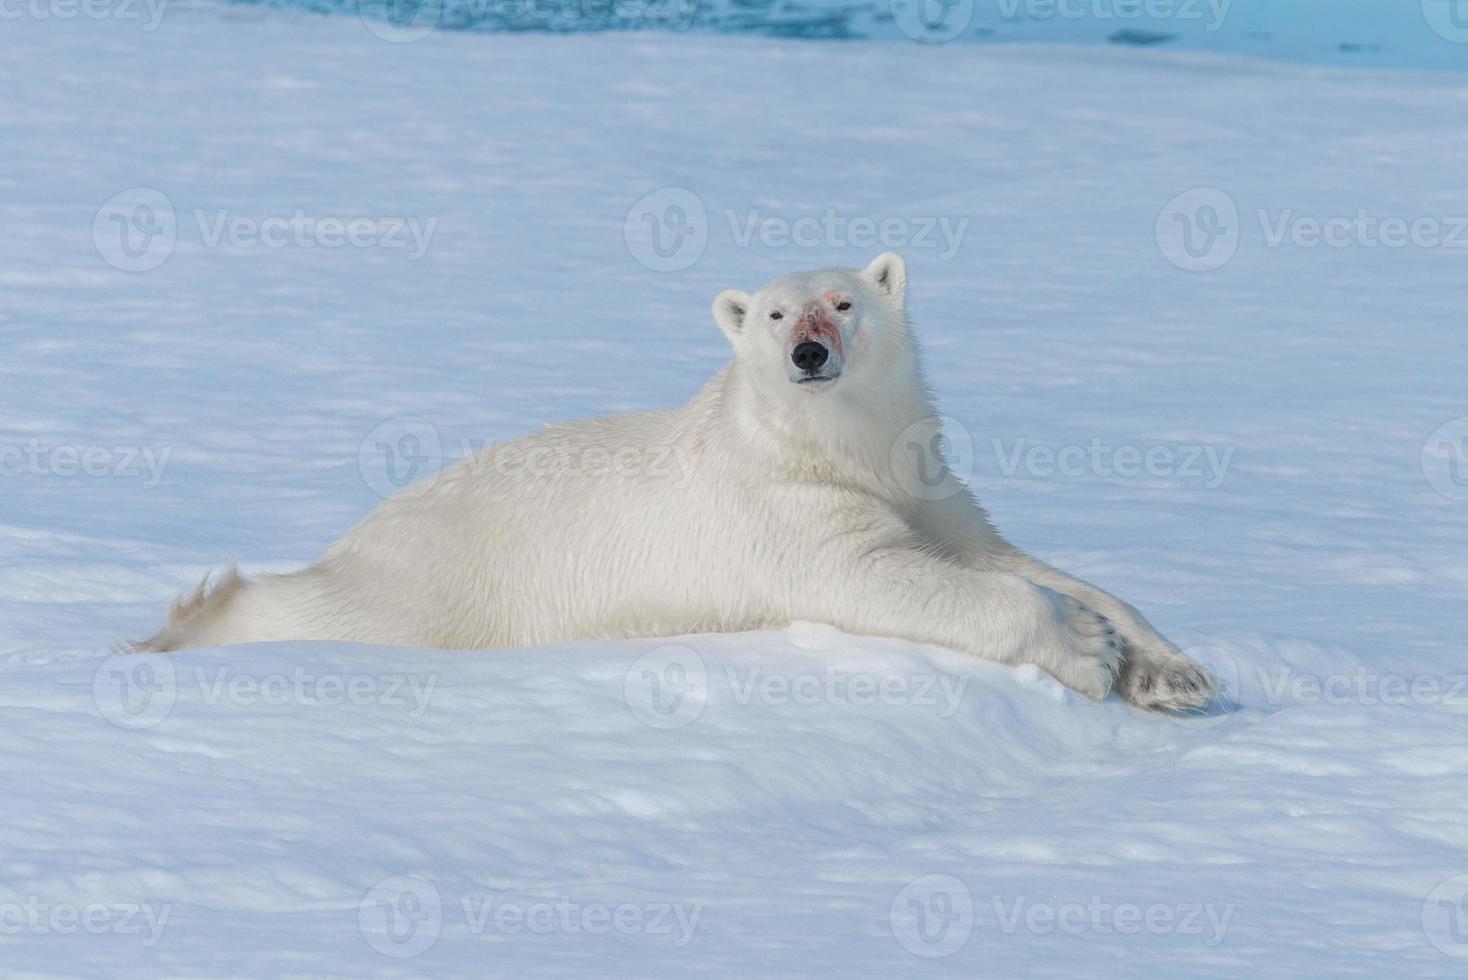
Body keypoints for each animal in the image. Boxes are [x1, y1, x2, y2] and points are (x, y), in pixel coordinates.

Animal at [137, 252, 1215, 712]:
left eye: (842, 302)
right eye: (774, 313)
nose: (810, 352)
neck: (842, 449)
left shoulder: (928, 483)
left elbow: (1006, 556)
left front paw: (1172, 670)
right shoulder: (783, 513)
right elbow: (885, 577)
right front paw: (1085, 646)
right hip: (437, 590)